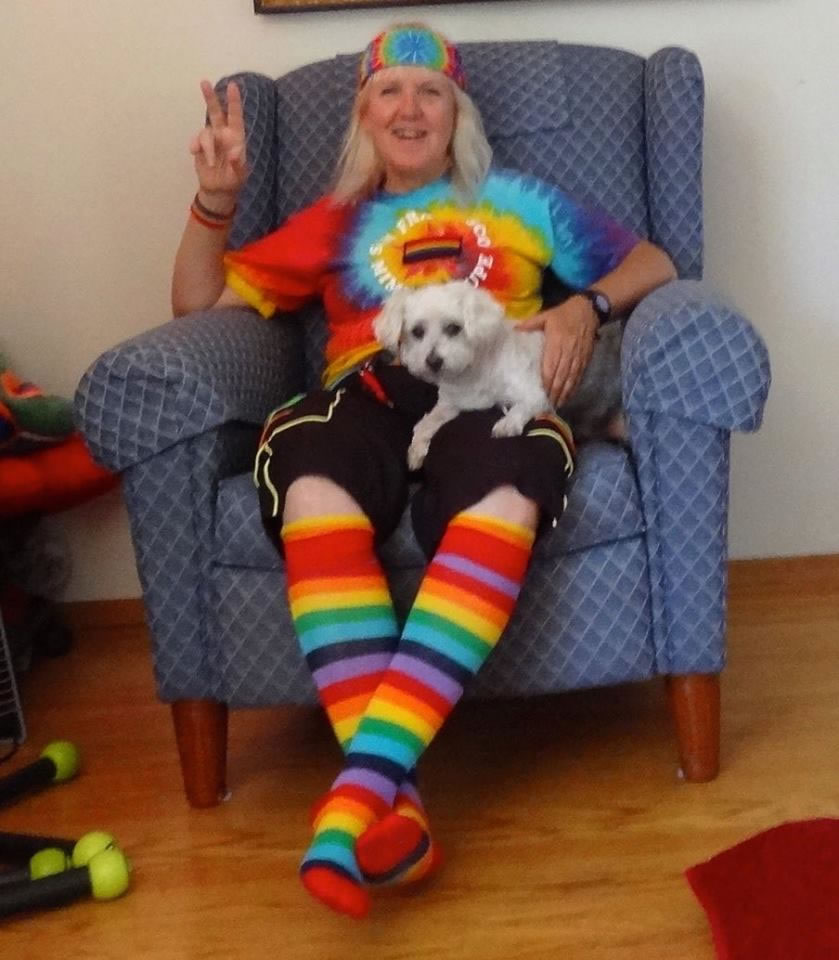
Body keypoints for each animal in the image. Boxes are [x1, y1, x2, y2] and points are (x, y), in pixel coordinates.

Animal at [374, 281, 624, 470]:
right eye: (417, 332)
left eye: (454, 328)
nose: (433, 361)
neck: (472, 371)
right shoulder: (451, 403)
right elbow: (426, 423)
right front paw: (416, 449)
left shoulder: (538, 392)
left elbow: (523, 405)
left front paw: (507, 423)